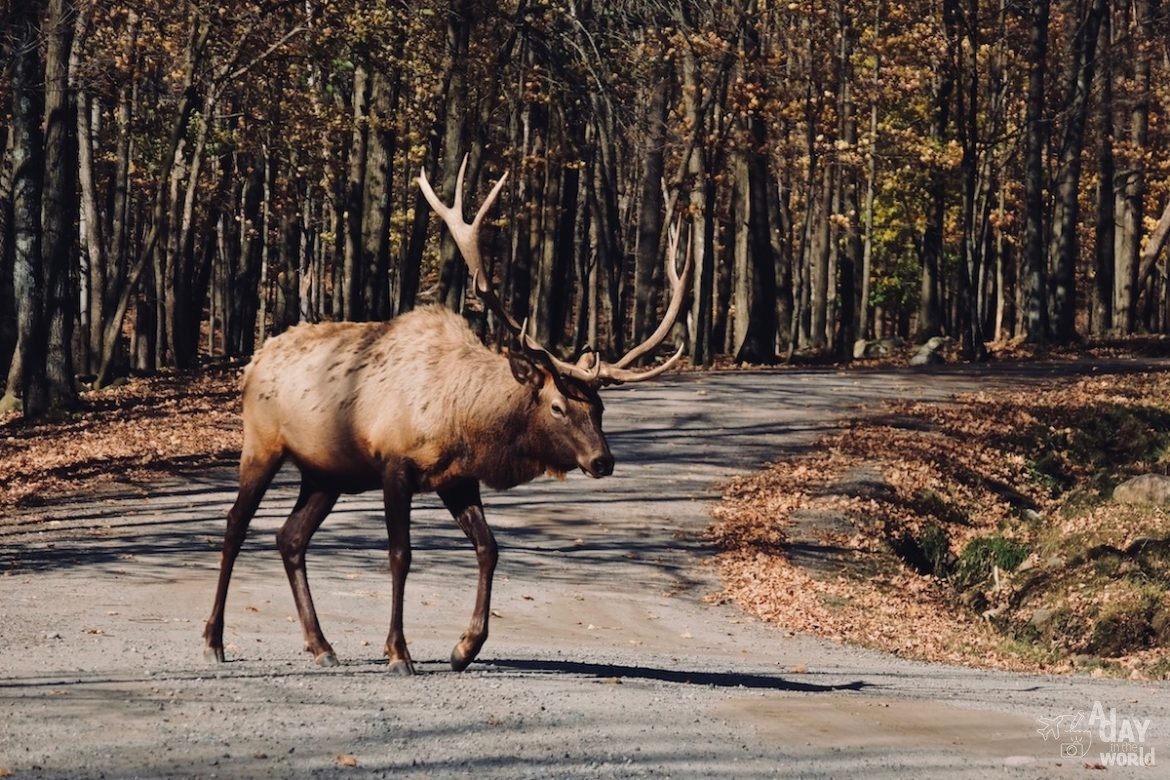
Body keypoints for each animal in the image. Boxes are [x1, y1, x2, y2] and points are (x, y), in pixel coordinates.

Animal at [204, 160, 687, 678]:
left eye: (599, 408)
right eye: (558, 406)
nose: (603, 461)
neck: (464, 418)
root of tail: (253, 361)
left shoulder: (457, 477)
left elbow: (489, 547)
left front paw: (465, 647)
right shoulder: (395, 465)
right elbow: (401, 554)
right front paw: (399, 652)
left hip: (325, 473)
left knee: (290, 538)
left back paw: (321, 645)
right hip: (262, 445)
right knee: (235, 524)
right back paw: (214, 641)